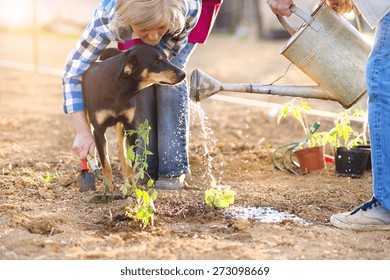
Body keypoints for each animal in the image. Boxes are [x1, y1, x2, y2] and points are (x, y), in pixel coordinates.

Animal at [82, 44, 186, 192]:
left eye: (167, 58)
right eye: (157, 61)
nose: (183, 74)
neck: (118, 88)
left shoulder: (130, 126)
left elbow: (131, 161)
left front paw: (131, 185)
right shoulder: (98, 130)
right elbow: (105, 162)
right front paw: (108, 186)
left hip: (120, 127)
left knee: (122, 149)